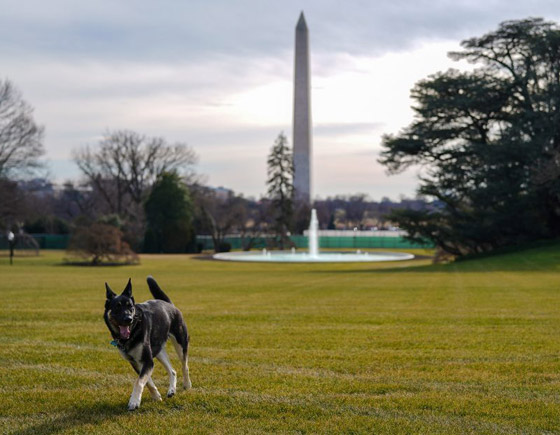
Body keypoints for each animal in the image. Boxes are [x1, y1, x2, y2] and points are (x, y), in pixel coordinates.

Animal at [104, 278, 191, 410]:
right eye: (117, 307)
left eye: (130, 307)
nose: (128, 319)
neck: (133, 330)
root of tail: (170, 304)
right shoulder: (137, 362)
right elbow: (147, 382)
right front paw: (156, 396)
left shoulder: (147, 361)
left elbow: (138, 381)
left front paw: (134, 401)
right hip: (159, 351)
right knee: (172, 371)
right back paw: (171, 390)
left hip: (180, 343)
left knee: (184, 365)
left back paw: (187, 384)